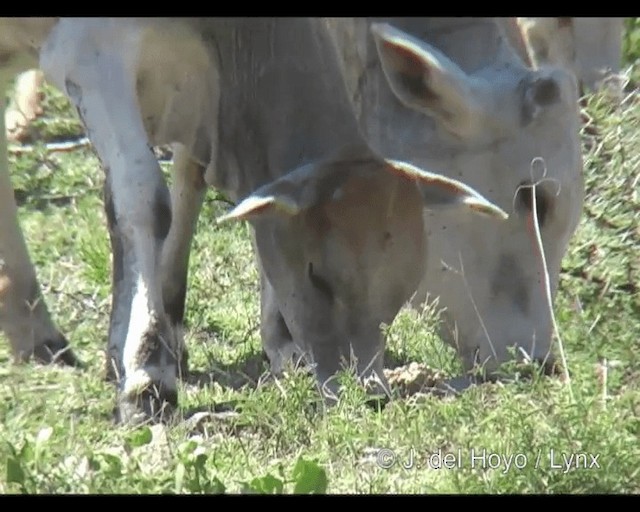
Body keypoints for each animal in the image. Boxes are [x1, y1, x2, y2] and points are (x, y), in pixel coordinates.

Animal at [3, 17, 510, 424]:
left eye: (402, 293)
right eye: (318, 277)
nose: (367, 394)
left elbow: (205, 185)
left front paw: (279, 346)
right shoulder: (89, 54)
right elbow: (143, 200)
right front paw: (147, 375)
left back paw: (35, 331)